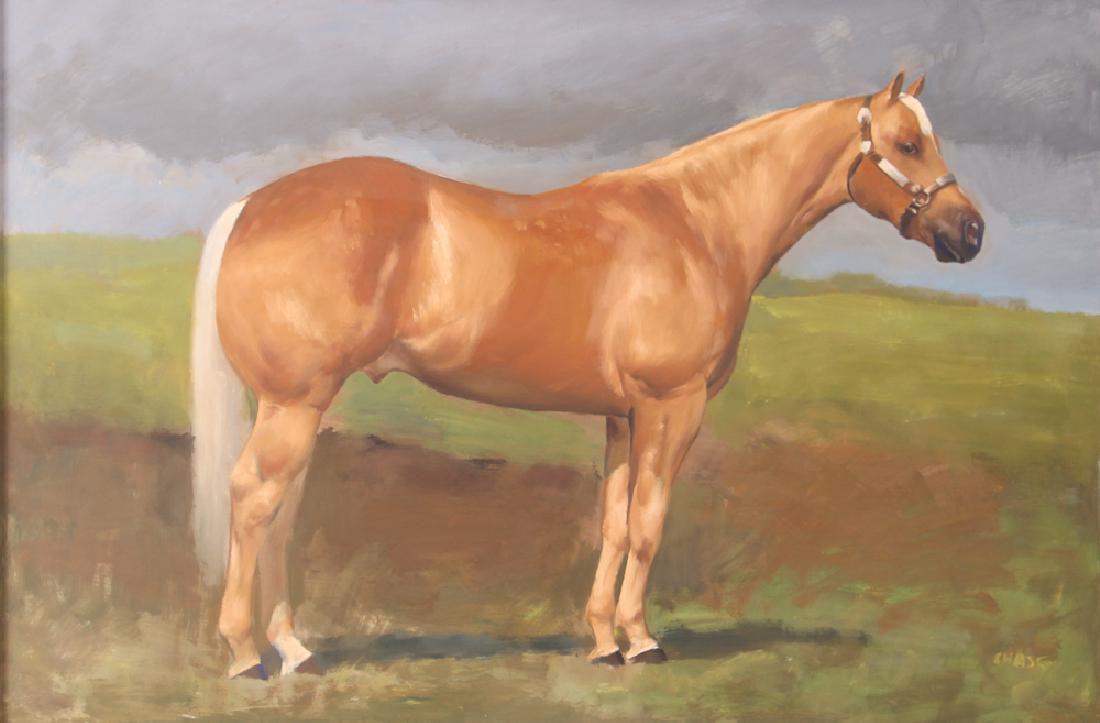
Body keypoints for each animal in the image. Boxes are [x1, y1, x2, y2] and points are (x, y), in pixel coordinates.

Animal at [191, 71, 984, 679]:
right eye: (907, 144)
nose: (970, 232)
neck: (697, 224)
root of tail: (251, 205)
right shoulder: (672, 406)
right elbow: (650, 522)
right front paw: (642, 641)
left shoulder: (622, 414)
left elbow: (613, 521)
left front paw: (603, 640)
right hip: (293, 403)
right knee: (254, 500)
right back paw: (245, 654)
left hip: (301, 404)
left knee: (282, 511)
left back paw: (294, 649)